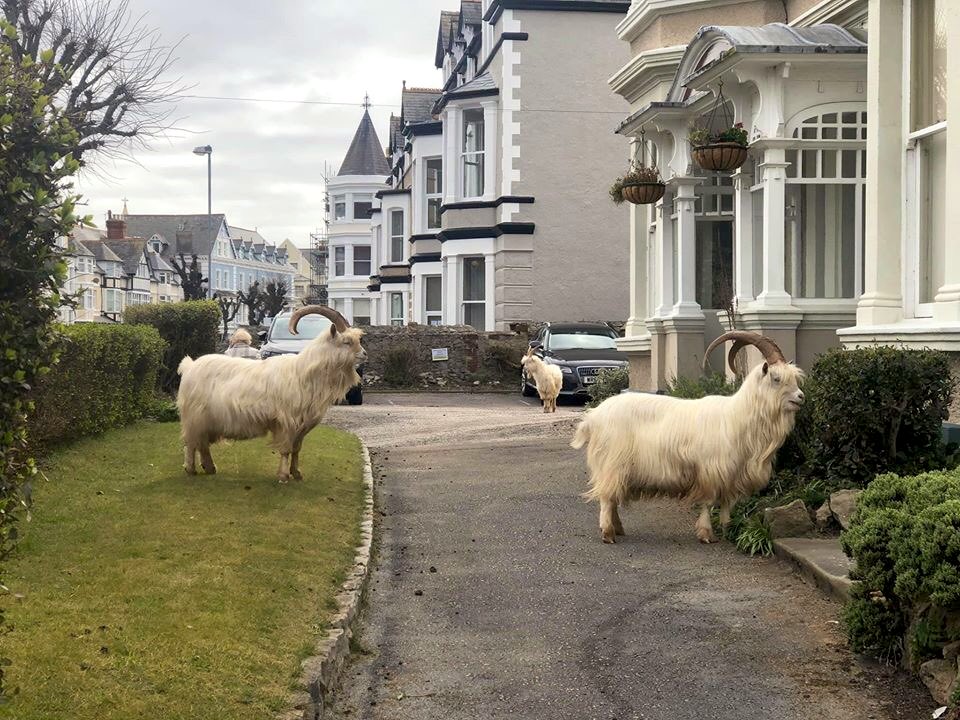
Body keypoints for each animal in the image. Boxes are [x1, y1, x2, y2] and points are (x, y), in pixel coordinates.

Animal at [174, 306, 366, 480]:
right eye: (346, 341)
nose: (364, 355)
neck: (303, 373)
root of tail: (190, 366)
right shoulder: (287, 421)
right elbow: (286, 449)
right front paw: (283, 476)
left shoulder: (302, 425)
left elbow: (297, 449)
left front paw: (296, 473)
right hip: (194, 417)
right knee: (191, 443)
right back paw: (191, 469)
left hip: (207, 420)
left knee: (202, 444)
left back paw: (209, 468)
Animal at [572, 334, 808, 544]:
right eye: (776, 379)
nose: (801, 397)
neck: (737, 416)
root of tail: (593, 417)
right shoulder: (710, 469)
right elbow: (708, 501)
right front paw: (706, 533)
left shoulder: (732, 474)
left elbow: (726, 503)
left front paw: (726, 528)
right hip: (612, 463)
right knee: (606, 496)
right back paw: (608, 533)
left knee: (612, 496)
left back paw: (618, 528)